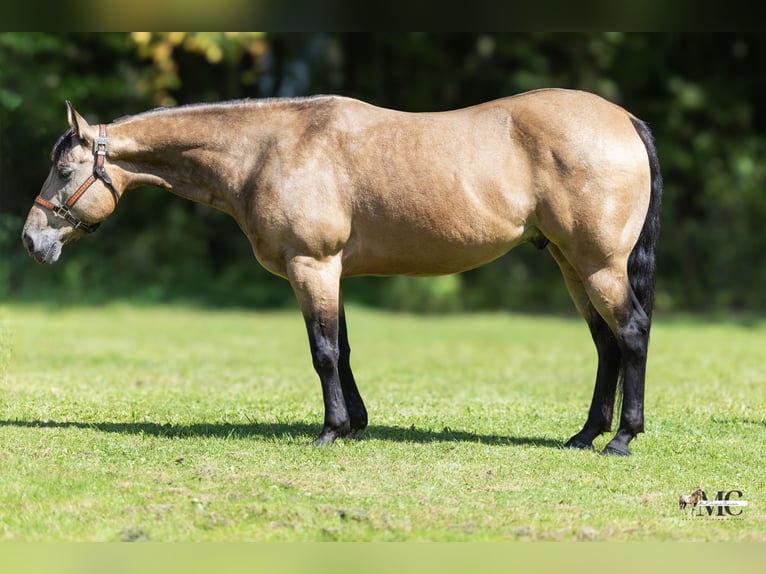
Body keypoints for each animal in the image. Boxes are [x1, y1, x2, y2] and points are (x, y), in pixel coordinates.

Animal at [22, 89, 662, 456]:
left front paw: (331, 430)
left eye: (63, 169)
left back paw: (622, 438)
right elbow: (344, 349)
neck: (266, 151)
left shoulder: (312, 266)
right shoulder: (332, 273)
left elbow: (324, 352)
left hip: (599, 266)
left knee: (630, 333)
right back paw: (585, 435)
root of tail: (624, 118)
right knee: (606, 344)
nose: (31, 240)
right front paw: (356, 423)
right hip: (570, 264)